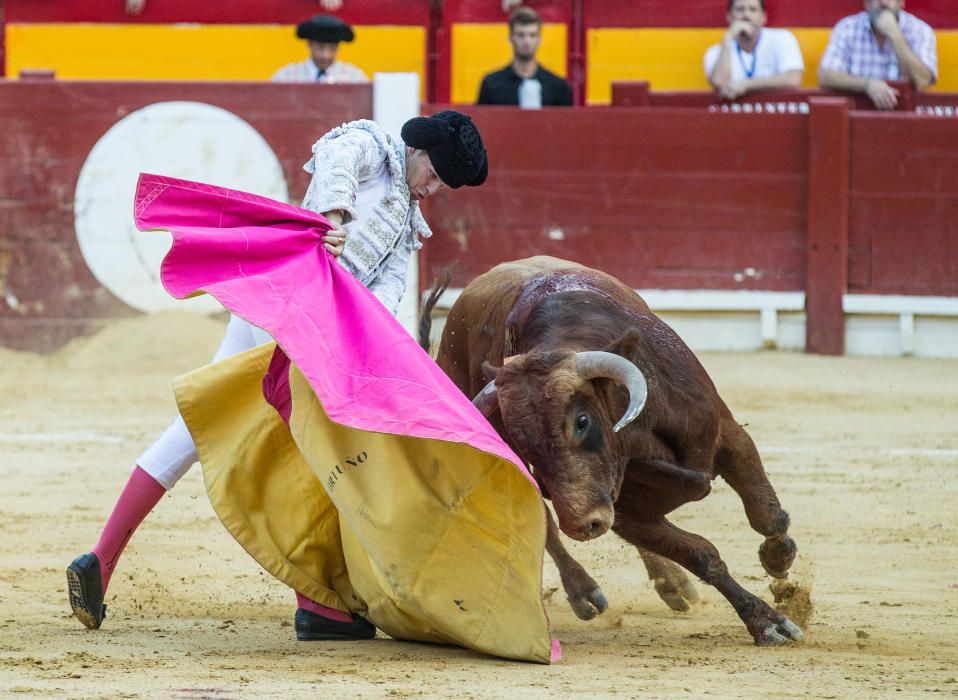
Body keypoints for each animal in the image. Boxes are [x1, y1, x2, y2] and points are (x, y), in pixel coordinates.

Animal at [424, 256, 808, 644]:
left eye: (581, 421)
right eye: (523, 443)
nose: (582, 525)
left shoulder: (726, 436)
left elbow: (765, 514)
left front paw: (778, 560)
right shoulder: (625, 512)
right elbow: (701, 553)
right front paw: (765, 620)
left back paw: (674, 585)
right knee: (545, 524)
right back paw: (585, 592)